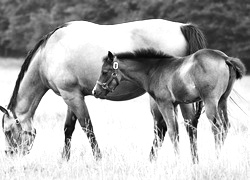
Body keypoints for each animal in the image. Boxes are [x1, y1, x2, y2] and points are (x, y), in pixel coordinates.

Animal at [0, 19, 206, 161]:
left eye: (8, 132)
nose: (10, 154)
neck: (48, 53)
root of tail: (182, 27)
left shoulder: (71, 96)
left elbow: (87, 127)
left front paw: (98, 159)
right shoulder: (72, 96)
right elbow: (68, 128)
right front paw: (64, 160)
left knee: (167, 127)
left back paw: (156, 160)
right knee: (184, 125)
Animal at [93, 48, 245, 162]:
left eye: (104, 72)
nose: (95, 91)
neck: (154, 71)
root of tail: (224, 58)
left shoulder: (164, 104)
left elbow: (172, 132)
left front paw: (177, 161)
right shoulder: (176, 104)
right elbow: (180, 130)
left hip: (210, 102)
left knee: (217, 127)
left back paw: (217, 158)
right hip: (222, 101)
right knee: (225, 126)